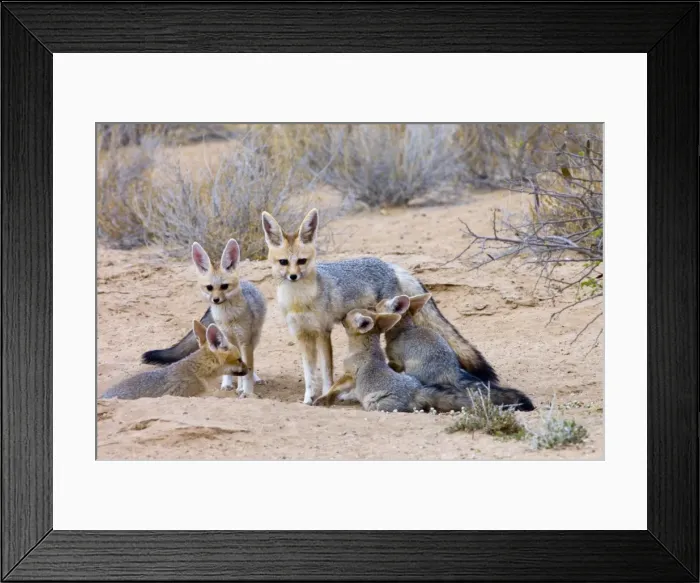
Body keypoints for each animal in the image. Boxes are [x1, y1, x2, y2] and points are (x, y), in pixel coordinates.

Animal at [141, 239, 267, 398]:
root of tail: (246, 282)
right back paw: (229, 384)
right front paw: (237, 386)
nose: (216, 300)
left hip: (254, 338)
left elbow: (247, 369)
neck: (228, 317)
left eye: (224, 286)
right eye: (209, 287)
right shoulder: (228, 338)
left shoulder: (245, 341)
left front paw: (247, 391)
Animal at [312, 308, 489, 413]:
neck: (363, 349)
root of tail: (417, 391)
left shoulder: (349, 375)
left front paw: (323, 399)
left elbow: (334, 388)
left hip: (373, 403)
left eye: (347, 315)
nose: (341, 315)